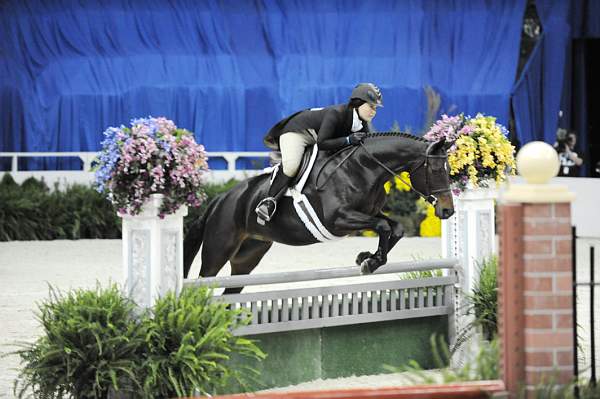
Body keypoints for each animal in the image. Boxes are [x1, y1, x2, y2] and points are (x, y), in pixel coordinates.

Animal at [183, 134, 454, 294]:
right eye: (437, 170)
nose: (447, 210)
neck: (364, 168)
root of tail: (220, 199)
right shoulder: (338, 219)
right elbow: (384, 227)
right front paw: (369, 261)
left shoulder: (368, 213)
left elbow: (394, 227)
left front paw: (367, 257)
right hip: (218, 249)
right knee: (202, 282)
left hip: (248, 256)